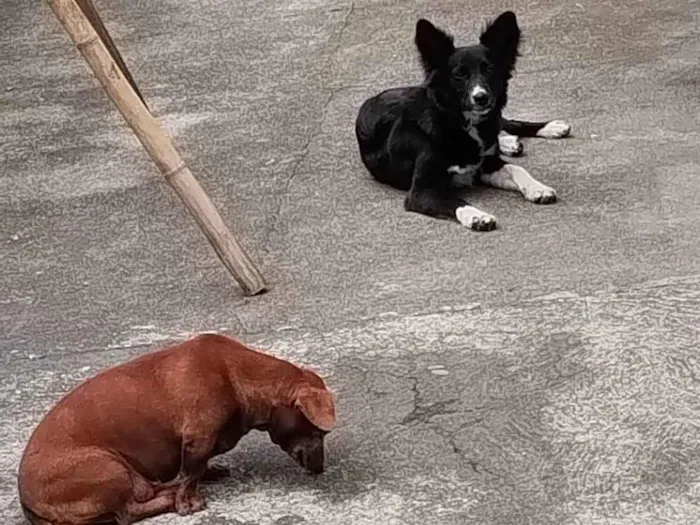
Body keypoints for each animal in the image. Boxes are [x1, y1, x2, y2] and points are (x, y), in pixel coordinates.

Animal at [18, 334, 336, 524]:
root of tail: (26, 501)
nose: (320, 469)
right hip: (106, 466)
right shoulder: (198, 438)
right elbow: (191, 473)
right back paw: (168, 497)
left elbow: (194, 470)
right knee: (128, 511)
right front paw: (187, 501)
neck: (235, 374)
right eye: (318, 433)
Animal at [358, 11, 572, 229]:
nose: (481, 97)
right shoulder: (421, 191)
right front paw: (477, 216)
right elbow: (455, 201)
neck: (461, 124)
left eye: (489, 69)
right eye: (459, 74)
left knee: (508, 123)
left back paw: (548, 128)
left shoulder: (487, 164)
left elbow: (516, 168)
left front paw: (537, 187)